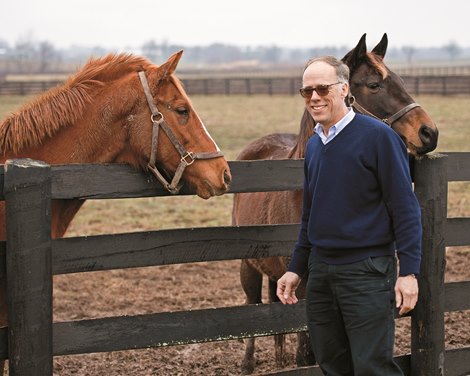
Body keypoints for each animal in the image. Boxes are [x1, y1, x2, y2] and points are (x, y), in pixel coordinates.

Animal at [233, 33, 438, 374]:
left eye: (399, 80)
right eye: (374, 84)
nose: (429, 132)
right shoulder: (303, 288)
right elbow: (306, 353)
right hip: (249, 267)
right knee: (253, 307)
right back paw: (248, 363)